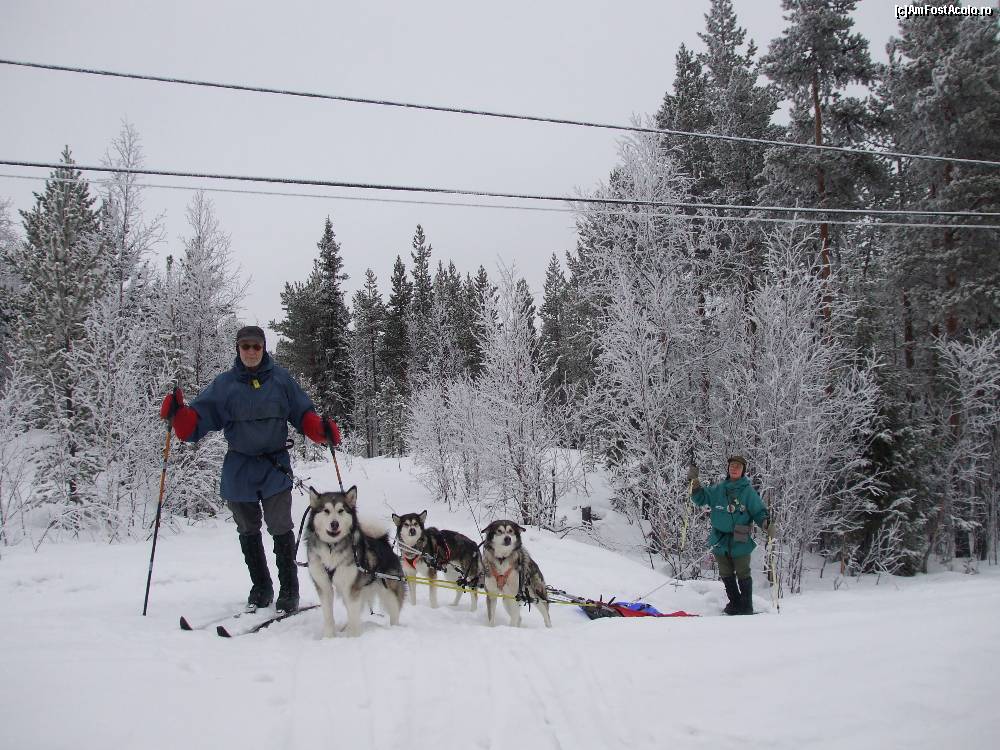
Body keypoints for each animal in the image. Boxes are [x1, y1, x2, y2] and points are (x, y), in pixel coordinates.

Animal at [306, 486, 406, 638]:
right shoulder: (323, 585)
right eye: (326, 510)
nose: (334, 524)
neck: (332, 547)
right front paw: (329, 638)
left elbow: (353, 615)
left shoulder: (351, 588)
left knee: (394, 612)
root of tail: (384, 542)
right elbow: (329, 615)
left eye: (341, 510)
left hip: (389, 592)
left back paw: (395, 630)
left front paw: (353, 637)